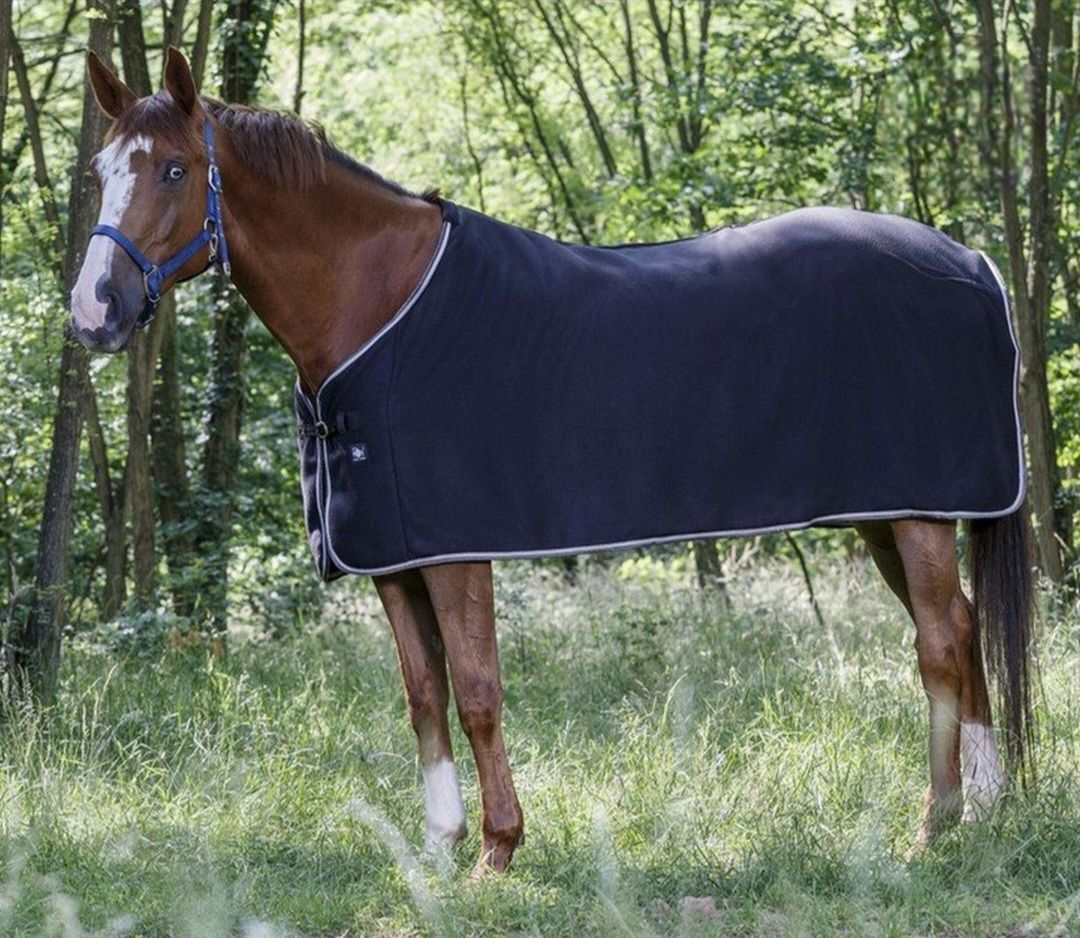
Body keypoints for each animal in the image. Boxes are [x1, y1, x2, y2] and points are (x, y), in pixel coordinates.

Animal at [70, 48, 1034, 875]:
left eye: (173, 170)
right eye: (99, 172)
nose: (92, 312)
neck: (376, 304)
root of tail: (973, 262)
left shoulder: (456, 553)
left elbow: (476, 691)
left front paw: (498, 849)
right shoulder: (393, 556)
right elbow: (423, 696)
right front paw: (439, 846)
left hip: (916, 511)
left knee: (939, 643)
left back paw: (934, 823)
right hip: (884, 511)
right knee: (963, 626)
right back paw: (990, 807)